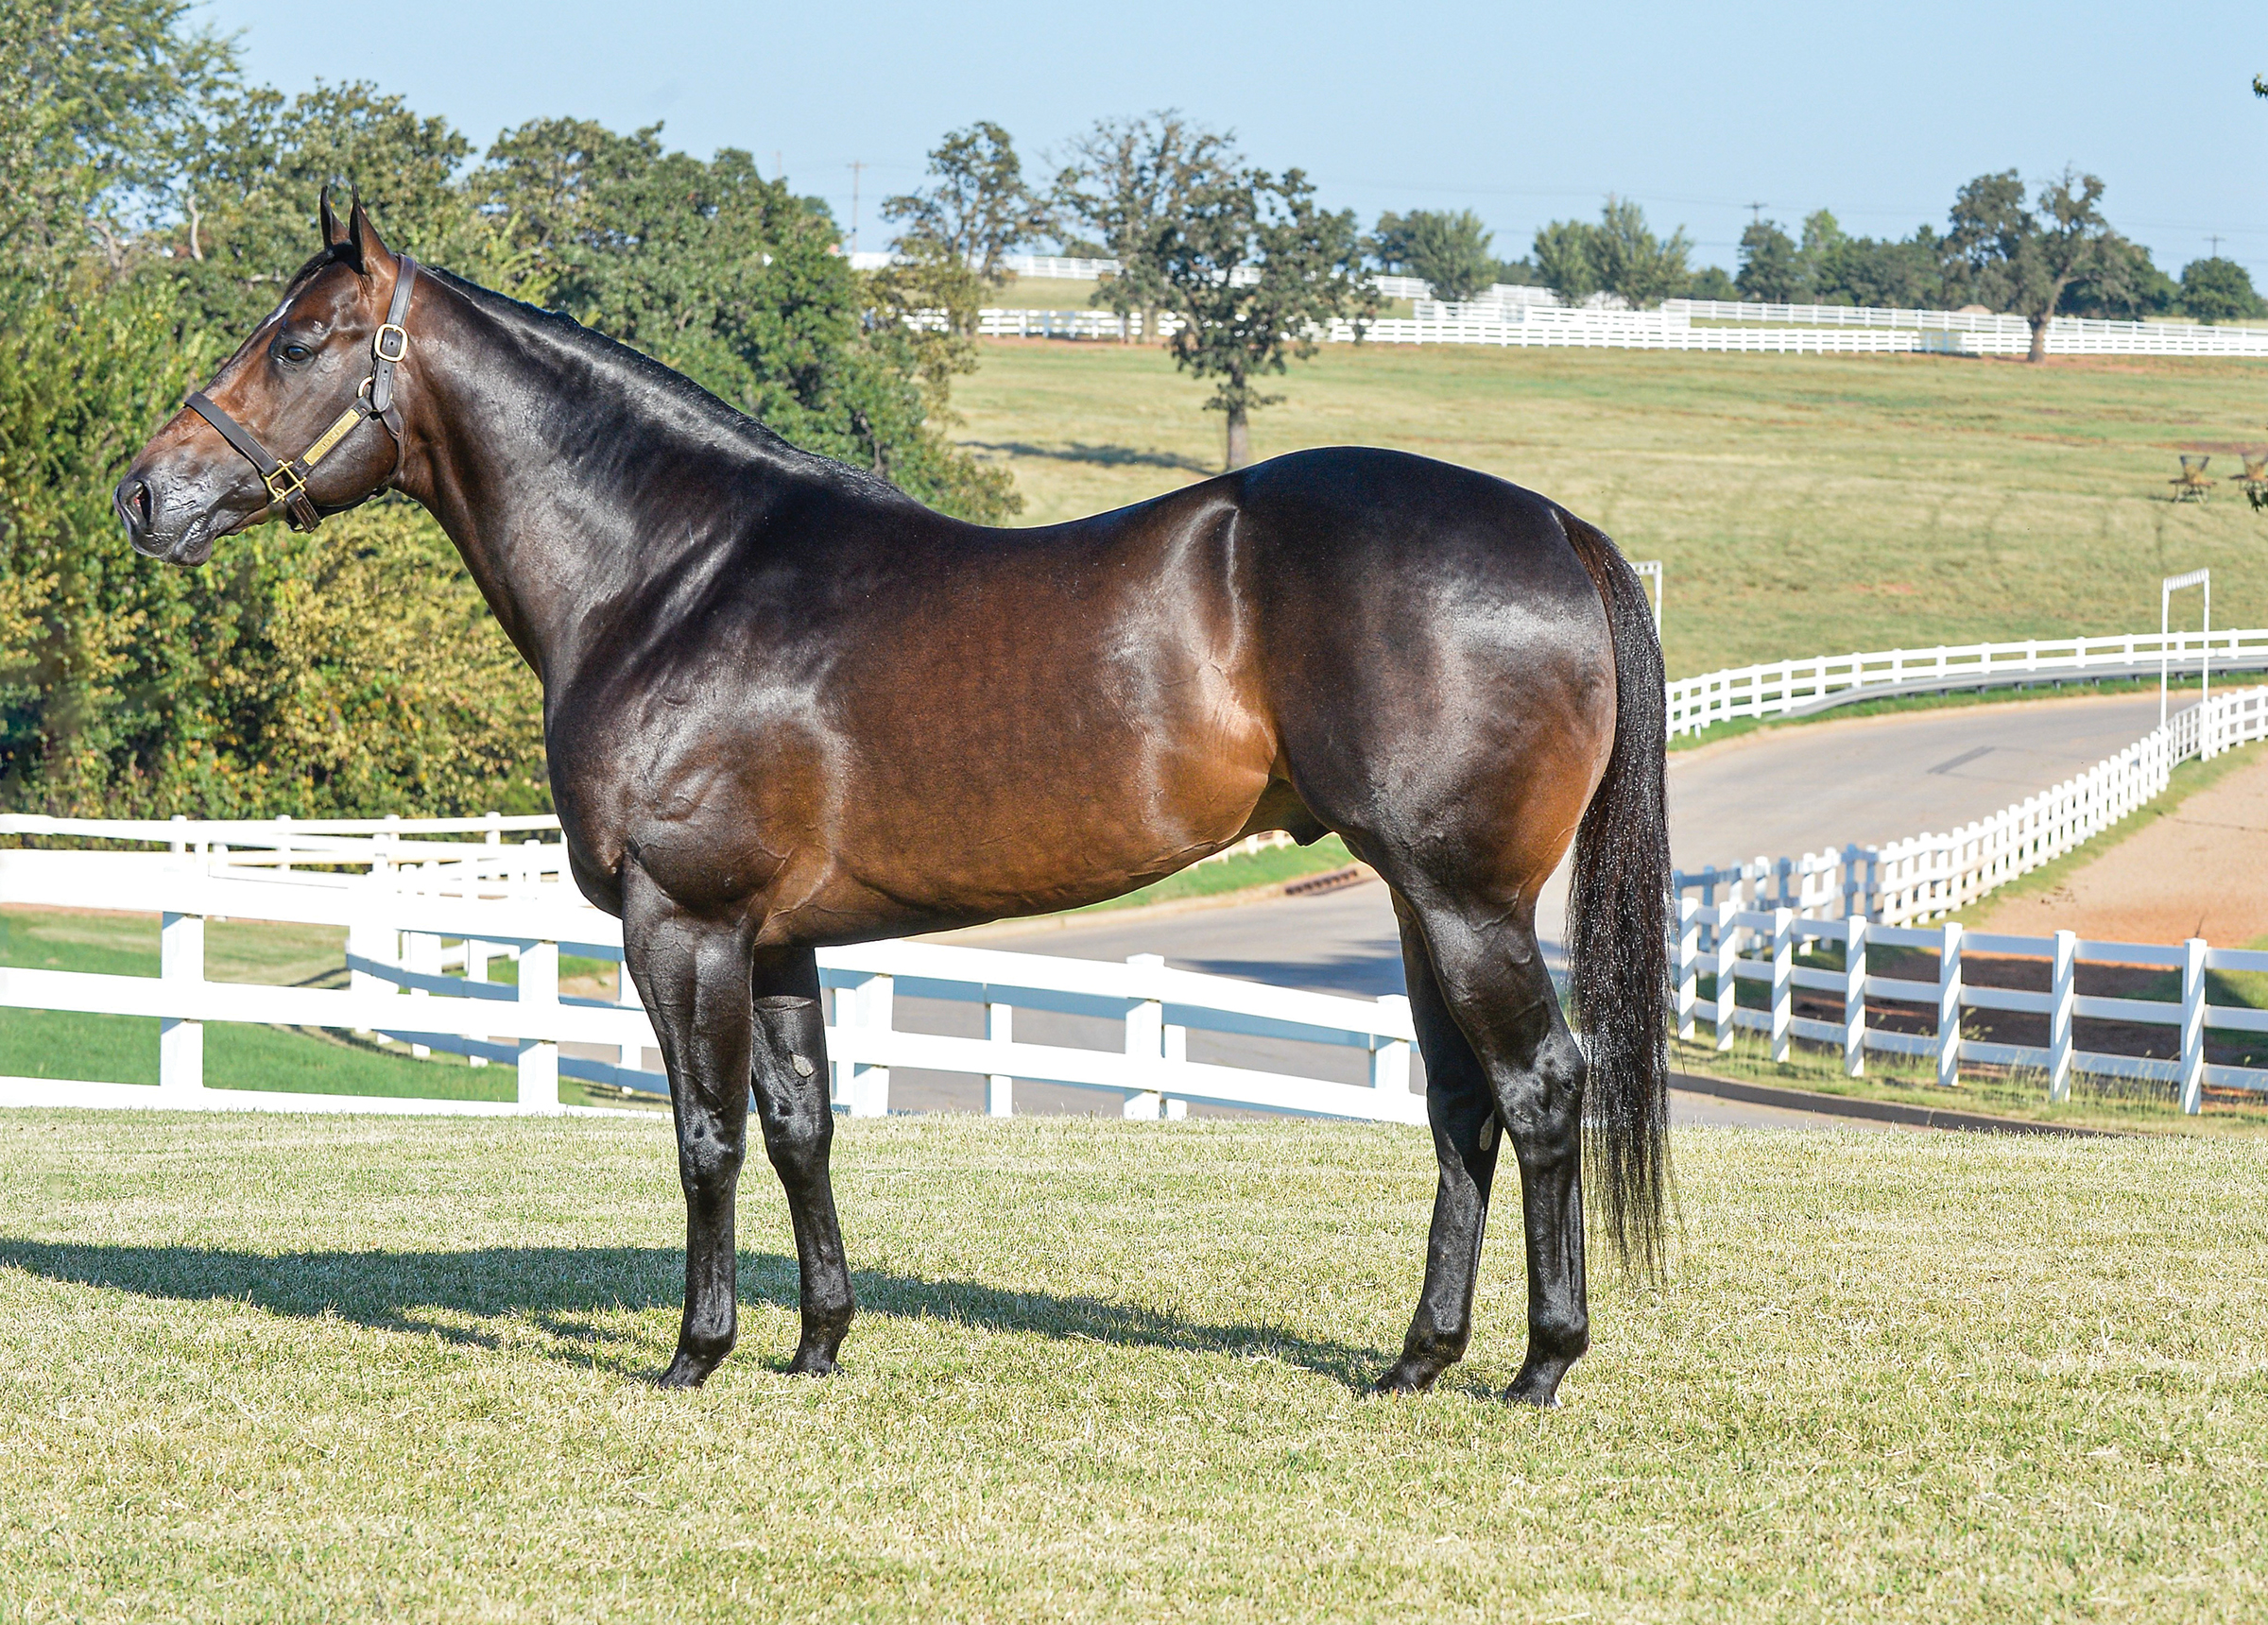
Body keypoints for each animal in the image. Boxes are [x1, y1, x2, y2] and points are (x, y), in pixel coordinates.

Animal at [115, 196, 1672, 1407]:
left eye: (296, 341)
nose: (142, 494)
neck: (672, 574)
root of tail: (1555, 527)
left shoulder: (682, 923)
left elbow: (705, 1133)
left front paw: (695, 1353)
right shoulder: (778, 940)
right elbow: (801, 1125)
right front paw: (817, 1343)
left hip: (1464, 900)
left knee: (1542, 1089)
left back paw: (1541, 1362)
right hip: (1421, 901)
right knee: (1464, 1110)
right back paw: (1416, 1359)